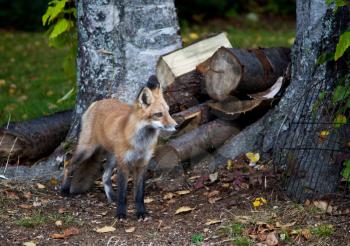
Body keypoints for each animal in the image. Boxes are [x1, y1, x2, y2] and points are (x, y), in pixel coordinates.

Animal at [60, 76, 178, 219]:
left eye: (168, 111)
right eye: (159, 114)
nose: (177, 126)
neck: (140, 144)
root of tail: (97, 102)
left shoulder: (142, 164)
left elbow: (139, 194)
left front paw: (141, 212)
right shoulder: (124, 163)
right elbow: (122, 193)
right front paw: (121, 213)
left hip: (112, 158)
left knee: (104, 176)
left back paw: (111, 197)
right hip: (87, 150)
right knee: (68, 163)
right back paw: (64, 189)